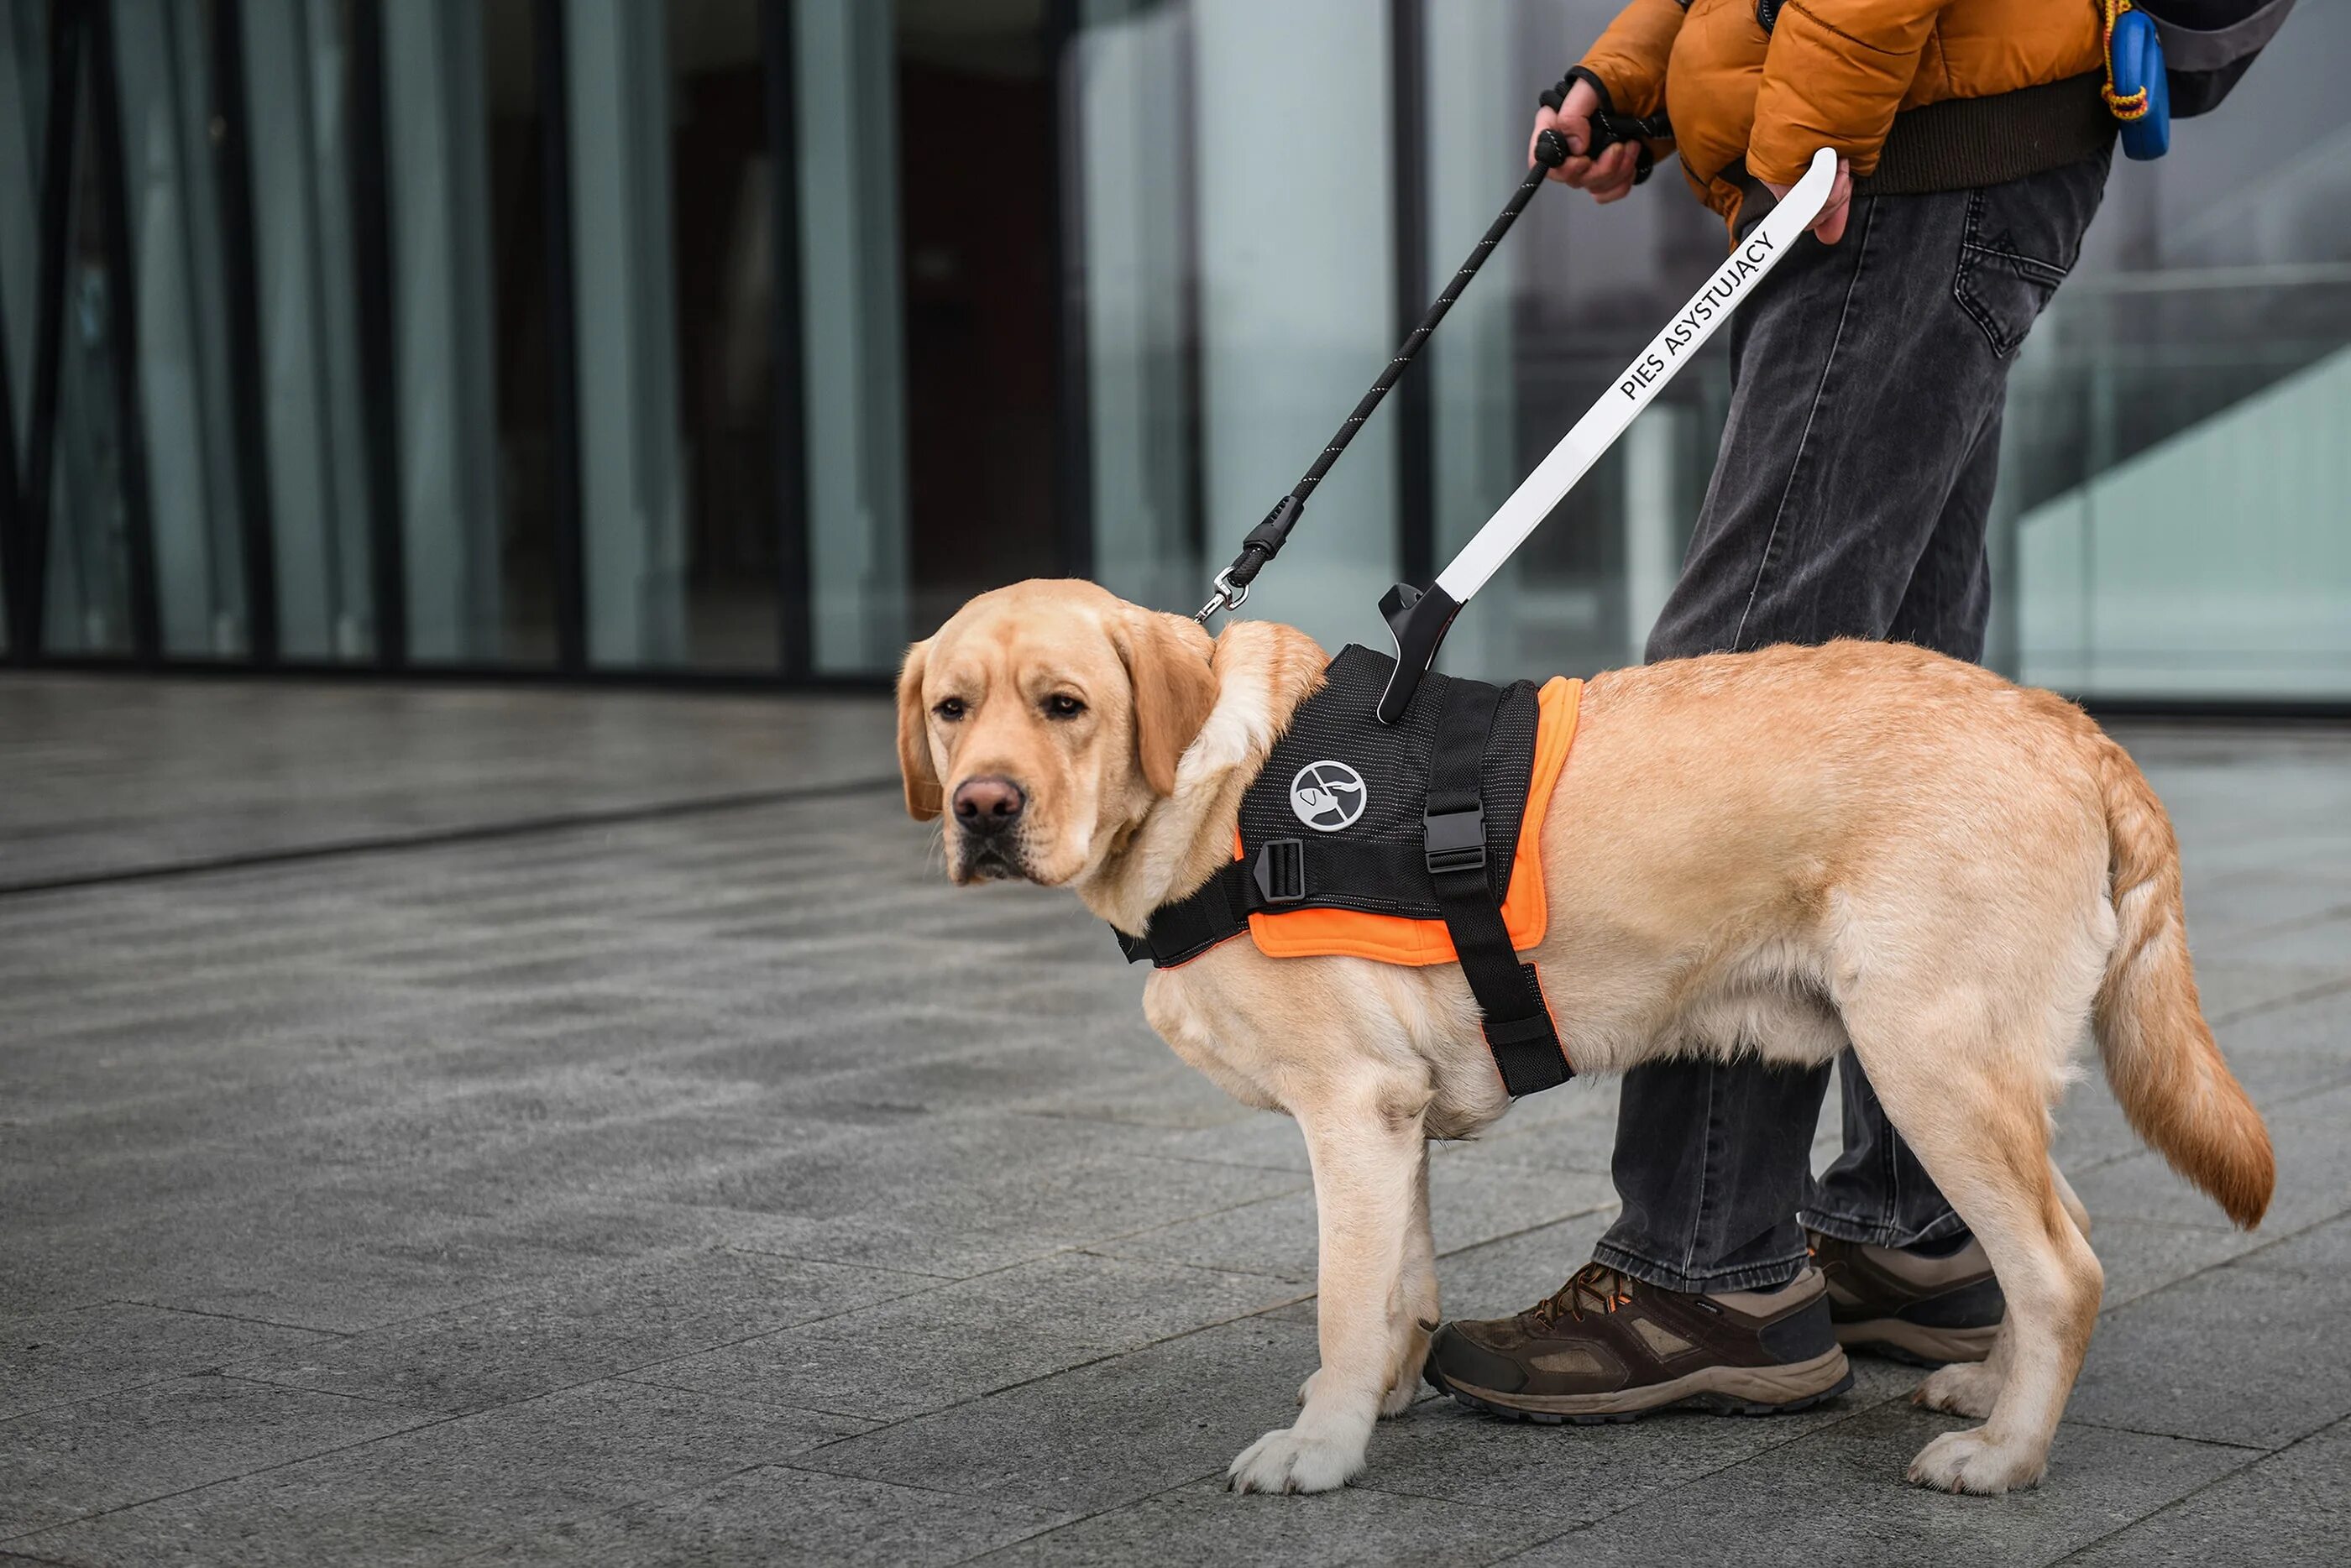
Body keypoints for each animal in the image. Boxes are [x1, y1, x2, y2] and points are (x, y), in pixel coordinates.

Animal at [888, 576, 2266, 1495]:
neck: (1226, 796)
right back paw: (1992, 1386)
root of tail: (2063, 722)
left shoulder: (1348, 1110)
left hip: (1927, 1057)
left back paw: (2005, 1455)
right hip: (1965, 1071)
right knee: (2054, 1243)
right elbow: (1400, 1289)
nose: (984, 808)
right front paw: (1380, 1399)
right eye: (952, 708)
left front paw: (1322, 1448)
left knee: (2061, 1267)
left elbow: (1342, 1301)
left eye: (1065, 704)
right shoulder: (1393, 1121)